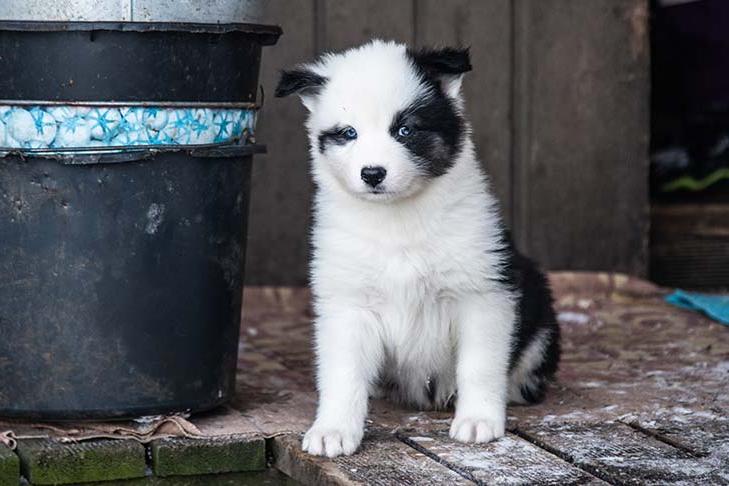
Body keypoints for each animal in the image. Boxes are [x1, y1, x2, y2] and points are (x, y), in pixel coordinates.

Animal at [276, 39, 560, 458]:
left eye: (405, 129)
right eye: (348, 133)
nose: (372, 173)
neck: (398, 221)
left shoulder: (484, 293)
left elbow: (479, 364)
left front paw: (478, 419)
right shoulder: (347, 303)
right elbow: (343, 374)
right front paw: (333, 429)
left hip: (537, 308)